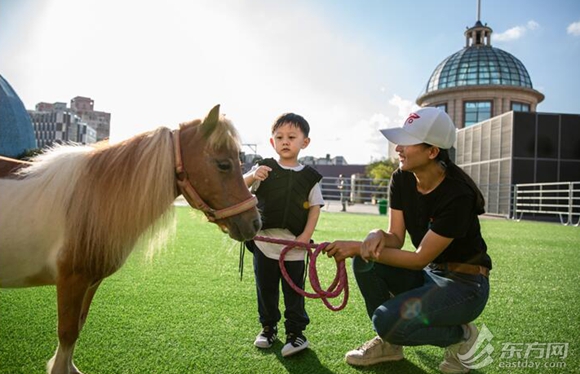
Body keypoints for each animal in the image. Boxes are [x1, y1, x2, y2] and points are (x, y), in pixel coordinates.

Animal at [0, 104, 260, 374]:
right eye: (224, 165)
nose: (255, 223)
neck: (90, 200)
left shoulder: (90, 282)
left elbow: (78, 328)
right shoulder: (71, 281)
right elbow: (68, 333)